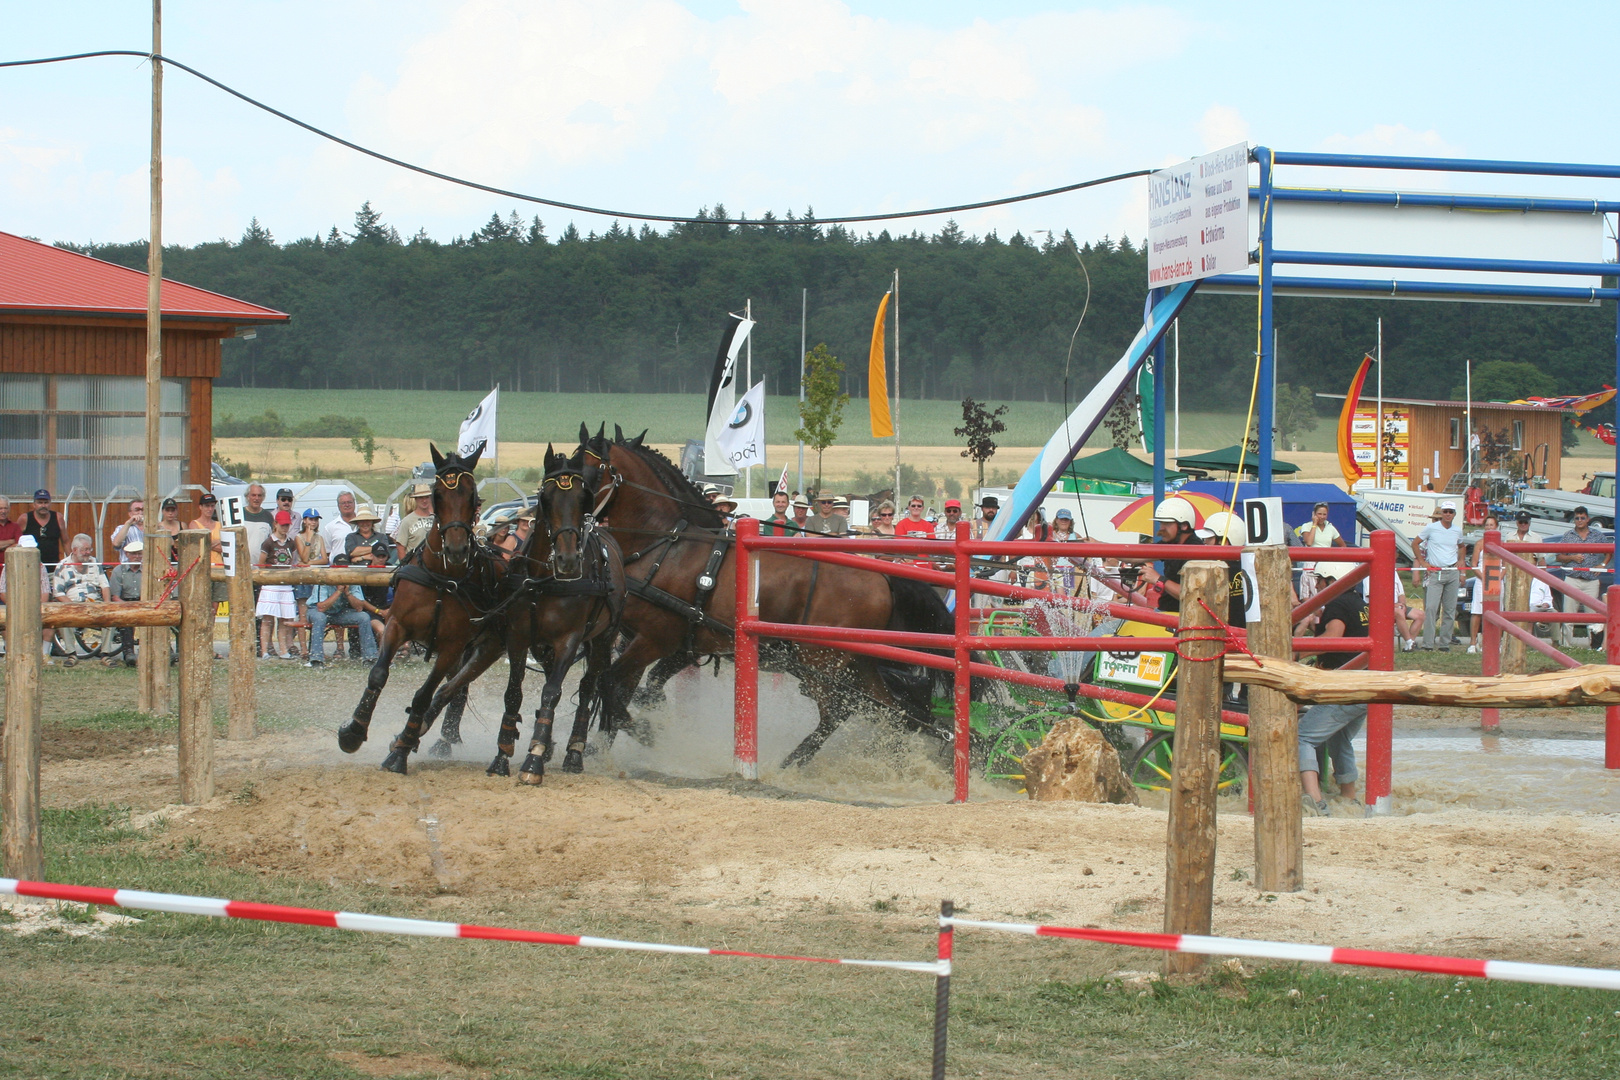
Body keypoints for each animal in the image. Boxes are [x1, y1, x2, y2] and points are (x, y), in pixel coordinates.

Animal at [583, 424, 959, 767]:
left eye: (590, 469)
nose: (577, 522)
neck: (672, 543)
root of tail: (882, 576)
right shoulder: (680, 644)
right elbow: (637, 690)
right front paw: (609, 742)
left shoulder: (661, 638)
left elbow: (620, 687)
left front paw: (642, 734)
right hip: (856, 663)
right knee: (892, 710)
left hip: (819, 663)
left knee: (839, 712)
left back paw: (791, 763)